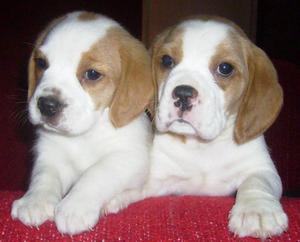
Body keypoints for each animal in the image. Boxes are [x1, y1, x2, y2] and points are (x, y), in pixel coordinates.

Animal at [10, 11, 154, 234]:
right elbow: (43, 176)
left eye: (92, 74)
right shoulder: (49, 153)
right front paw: (34, 200)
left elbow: (95, 174)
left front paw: (74, 207)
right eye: (41, 63)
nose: (46, 105)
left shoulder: (128, 157)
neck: (83, 136)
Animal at [146, 16, 288, 238]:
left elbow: (257, 183)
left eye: (225, 68)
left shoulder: (261, 168)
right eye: (167, 61)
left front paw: (257, 211)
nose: (183, 94)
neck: (203, 146)